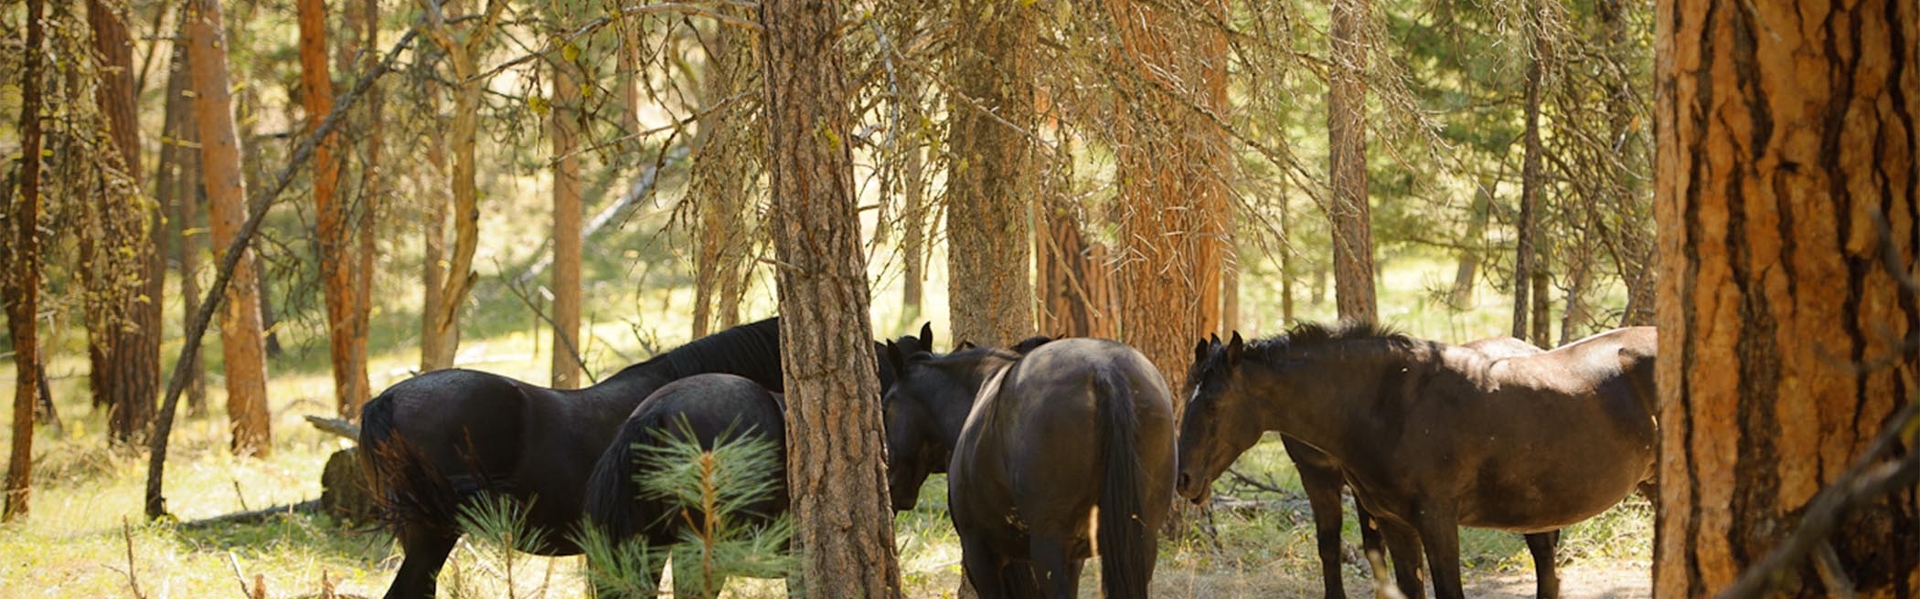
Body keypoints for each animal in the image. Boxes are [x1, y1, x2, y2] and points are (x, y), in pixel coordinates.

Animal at [879, 339, 1175, 595]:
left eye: (885, 407)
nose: (888, 477)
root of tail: (1104, 371)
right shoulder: (1072, 560)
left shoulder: (980, 553)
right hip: (1140, 543)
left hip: (1048, 549)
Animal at [1175, 322, 1658, 599]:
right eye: (1184, 397)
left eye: (1214, 404)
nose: (1184, 480)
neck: (1390, 404)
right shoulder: (1394, 522)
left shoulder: (1436, 519)